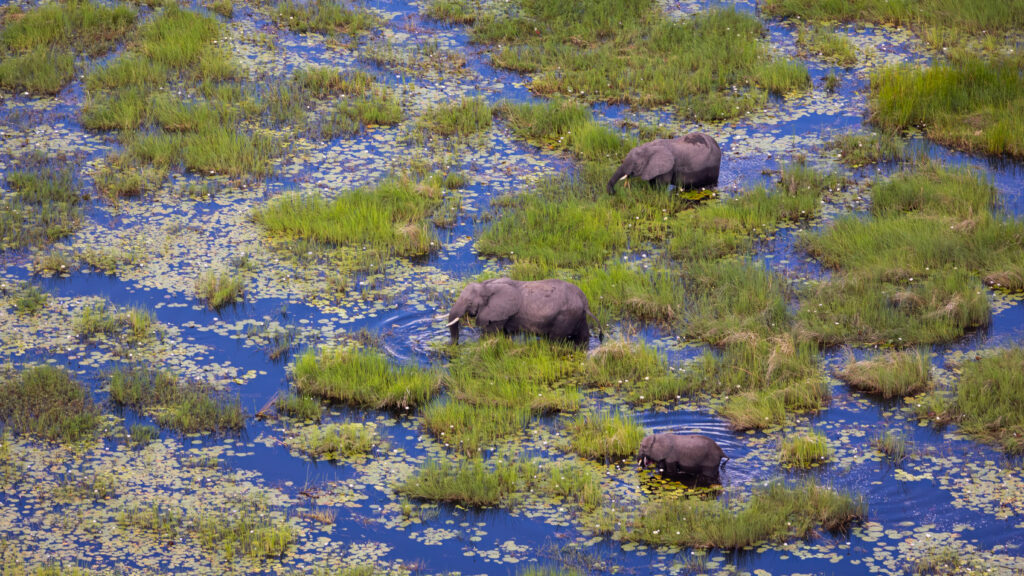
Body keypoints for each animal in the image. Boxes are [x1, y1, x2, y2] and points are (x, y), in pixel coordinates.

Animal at [446, 278, 601, 347]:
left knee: (555, 339)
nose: (453, 346)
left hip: (566, 316)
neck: (486, 285)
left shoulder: (498, 314)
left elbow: (490, 334)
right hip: (578, 316)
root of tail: (584, 301)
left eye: (469, 302)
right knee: (583, 336)